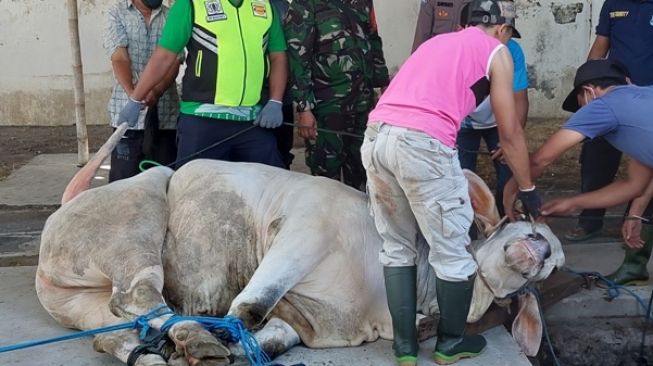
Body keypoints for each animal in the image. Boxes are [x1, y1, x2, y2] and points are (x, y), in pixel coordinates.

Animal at [35, 126, 564, 366]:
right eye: (525, 223)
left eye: (555, 265)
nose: (539, 251)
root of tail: (67, 203)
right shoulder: (305, 231)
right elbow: (249, 307)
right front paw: (223, 335)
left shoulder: (309, 318)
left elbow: (267, 337)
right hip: (138, 217)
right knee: (139, 296)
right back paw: (198, 339)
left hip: (81, 305)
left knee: (115, 330)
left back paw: (162, 350)